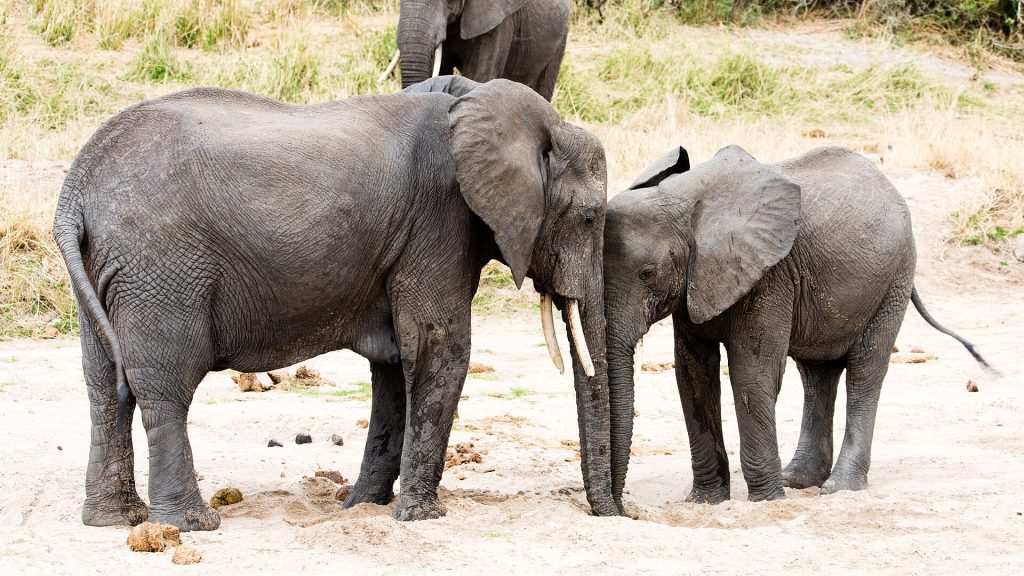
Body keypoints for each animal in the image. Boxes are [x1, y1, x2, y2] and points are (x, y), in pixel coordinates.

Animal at [53, 76, 619, 531]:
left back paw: (113, 520)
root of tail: (75, 190)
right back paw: (192, 525)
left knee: (105, 387)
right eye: (591, 219)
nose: (616, 514)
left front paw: (361, 508)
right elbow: (438, 349)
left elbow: (395, 364)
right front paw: (421, 518)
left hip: (109, 271)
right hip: (162, 269)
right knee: (165, 388)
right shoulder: (439, 222)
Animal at [602, 145, 991, 508]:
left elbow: (752, 375)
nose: (625, 508)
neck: (683, 200)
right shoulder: (694, 286)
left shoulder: (770, 275)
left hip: (894, 279)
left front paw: (766, 502)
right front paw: (706, 502)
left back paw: (838, 488)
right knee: (817, 374)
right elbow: (693, 377)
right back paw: (799, 481)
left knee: (864, 371)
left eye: (647, 273)